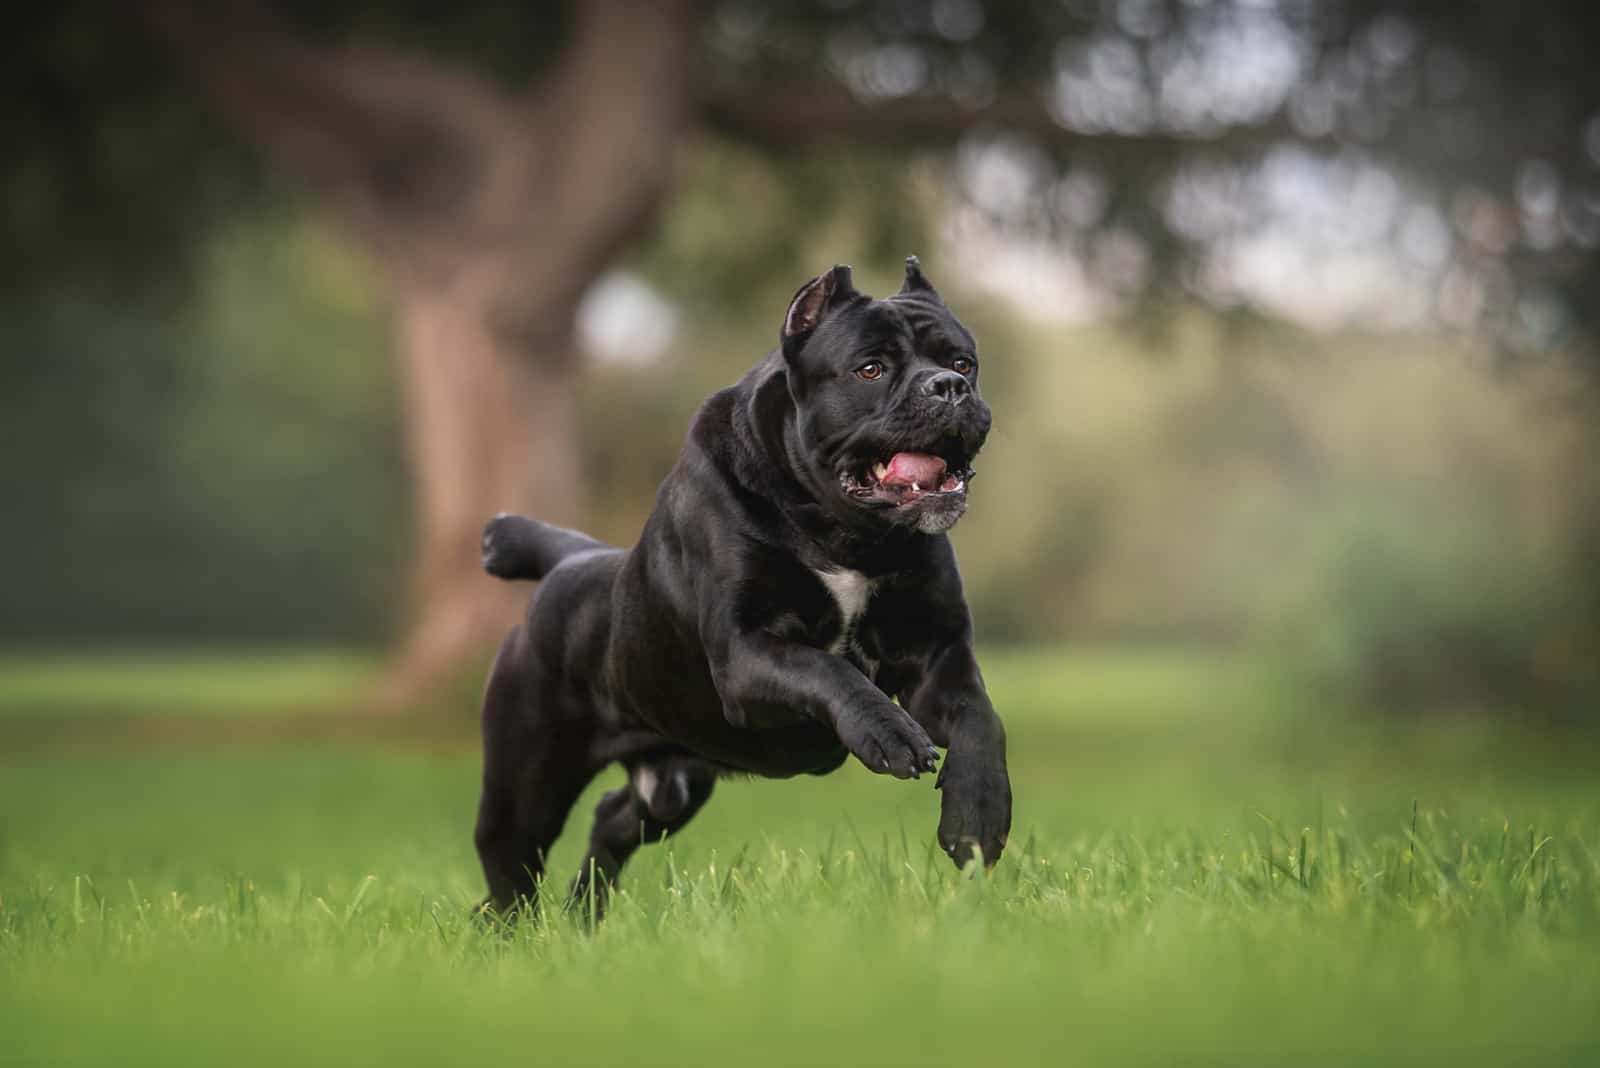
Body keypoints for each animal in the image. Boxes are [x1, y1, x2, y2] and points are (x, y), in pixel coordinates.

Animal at [467, 254, 1011, 914]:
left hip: (673, 783)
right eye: (870, 368)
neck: (845, 533)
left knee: (615, 819)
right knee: (510, 862)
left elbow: (981, 721)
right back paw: (515, 925)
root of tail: (571, 561)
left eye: (963, 362)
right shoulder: (746, 651)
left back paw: (584, 914)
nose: (948, 387)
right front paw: (888, 733)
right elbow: (827, 669)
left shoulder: (938, 654)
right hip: (527, 781)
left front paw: (978, 819)